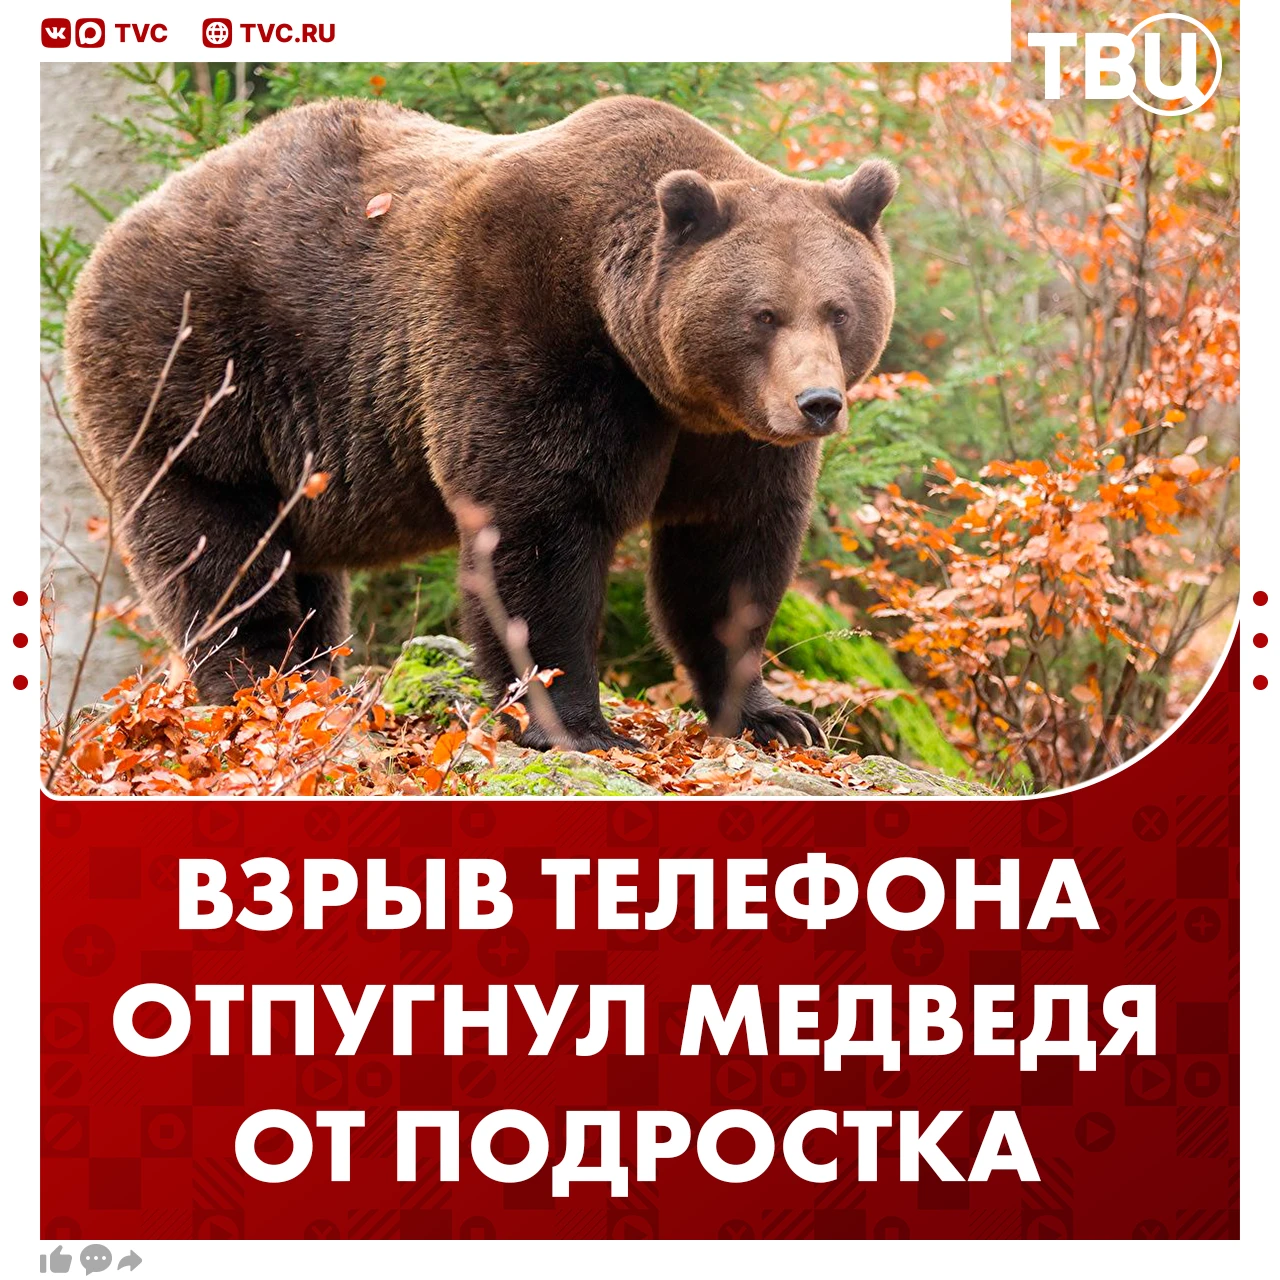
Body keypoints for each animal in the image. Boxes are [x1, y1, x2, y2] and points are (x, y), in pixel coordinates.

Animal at [65, 94, 897, 752]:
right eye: (763, 314)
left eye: (839, 309)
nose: (817, 402)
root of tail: (113, 235)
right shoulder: (525, 334)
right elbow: (538, 527)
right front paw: (576, 724)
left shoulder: (725, 435)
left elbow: (729, 551)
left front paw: (775, 715)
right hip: (197, 367)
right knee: (212, 538)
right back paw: (261, 683)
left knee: (299, 562)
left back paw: (316, 675)